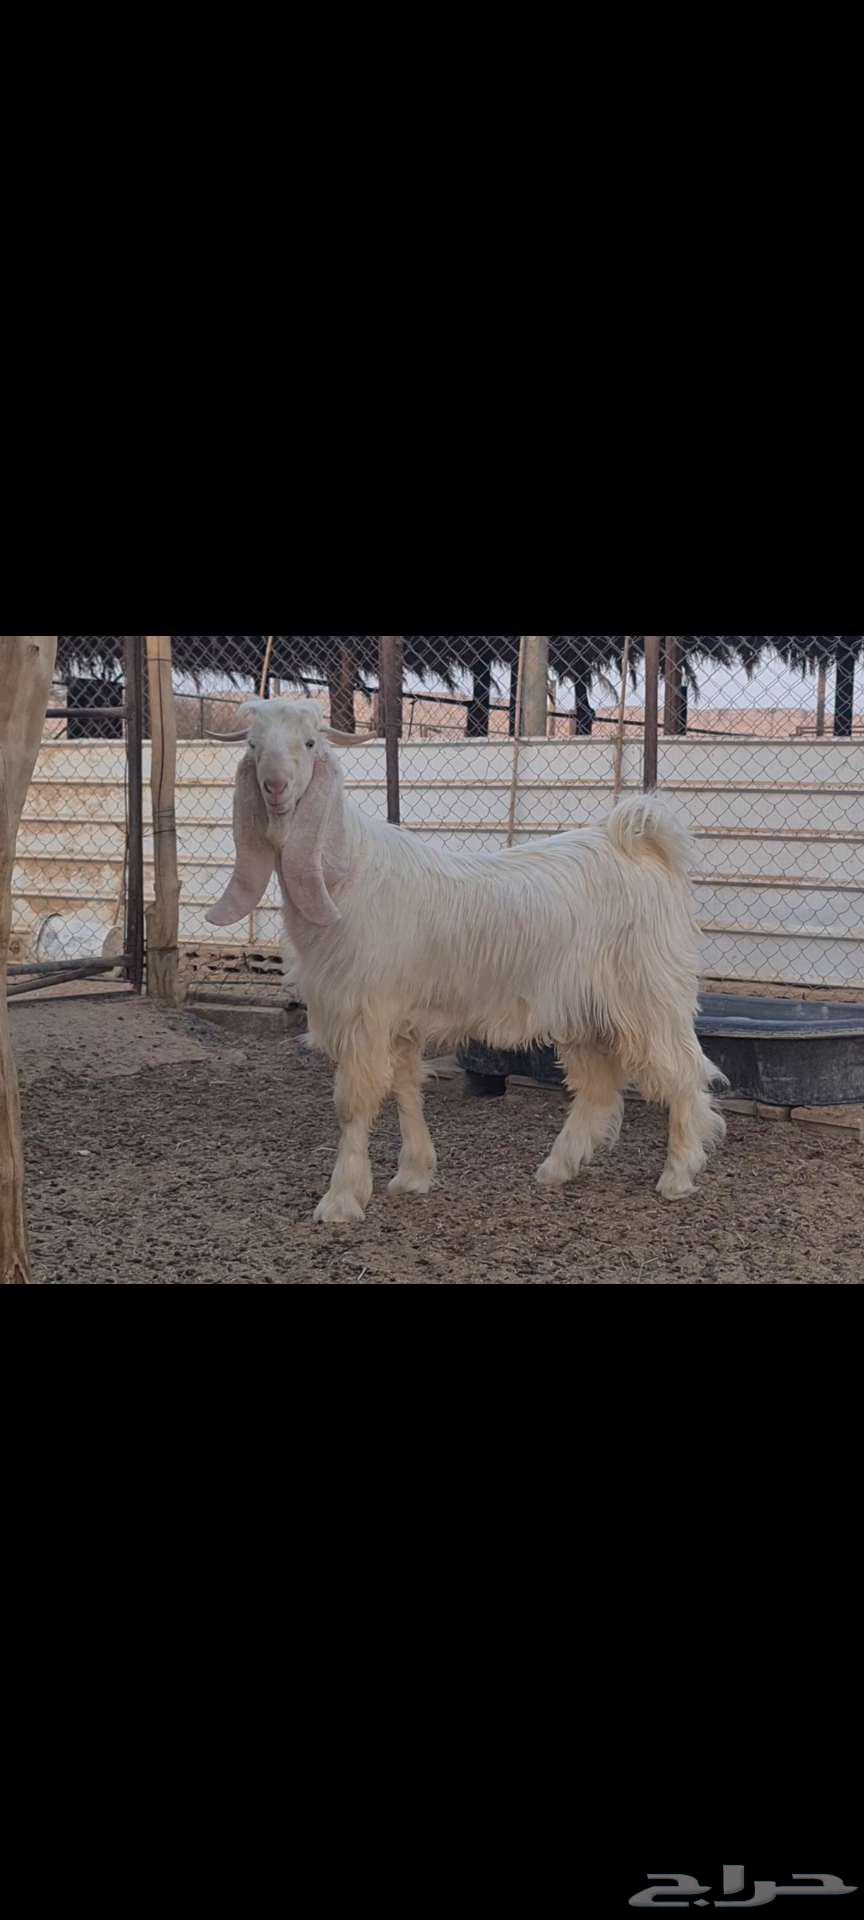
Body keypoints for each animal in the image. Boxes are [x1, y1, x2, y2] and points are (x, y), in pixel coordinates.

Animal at [207, 699, 725, 1224]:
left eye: (310, 743)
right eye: (253, 745)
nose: (274, 787)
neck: (348, 871)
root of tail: (639, 843)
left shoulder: (365, 1012)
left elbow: (354, 1102)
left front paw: (342, 1198)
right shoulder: (400, 1018)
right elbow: (407, 1087)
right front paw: (413, 1174)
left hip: (651, 995)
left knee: (685, 1073)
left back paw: (678, 1175)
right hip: (584, 1009)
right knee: (597, 1087)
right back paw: (558, 1167)